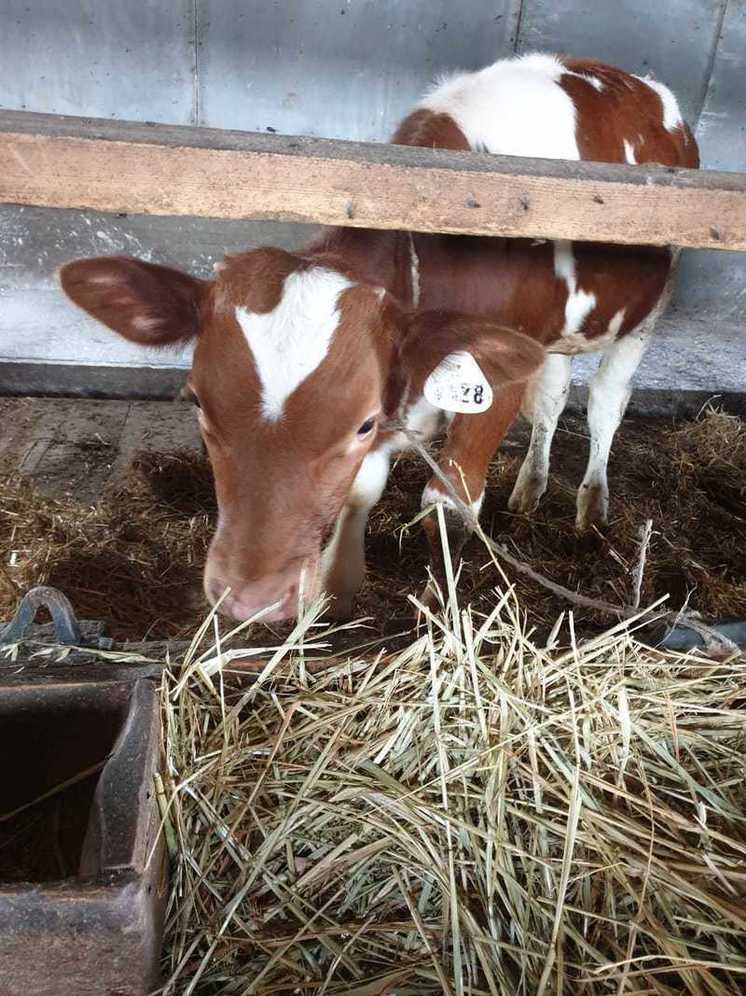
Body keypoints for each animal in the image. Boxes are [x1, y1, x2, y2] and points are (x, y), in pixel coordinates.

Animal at [59, 54, 696, 624]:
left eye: (362, 422)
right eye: (196, 401)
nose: (249, 601)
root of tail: (635, 82)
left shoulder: (492, 381)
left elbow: (448, 504)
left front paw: (439, 604)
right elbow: (363, 486)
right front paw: (338, 588)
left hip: (648, 311)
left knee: (605, 405)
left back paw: (591, 505)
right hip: (558, 336)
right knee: (554, 395)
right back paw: (530, 487)